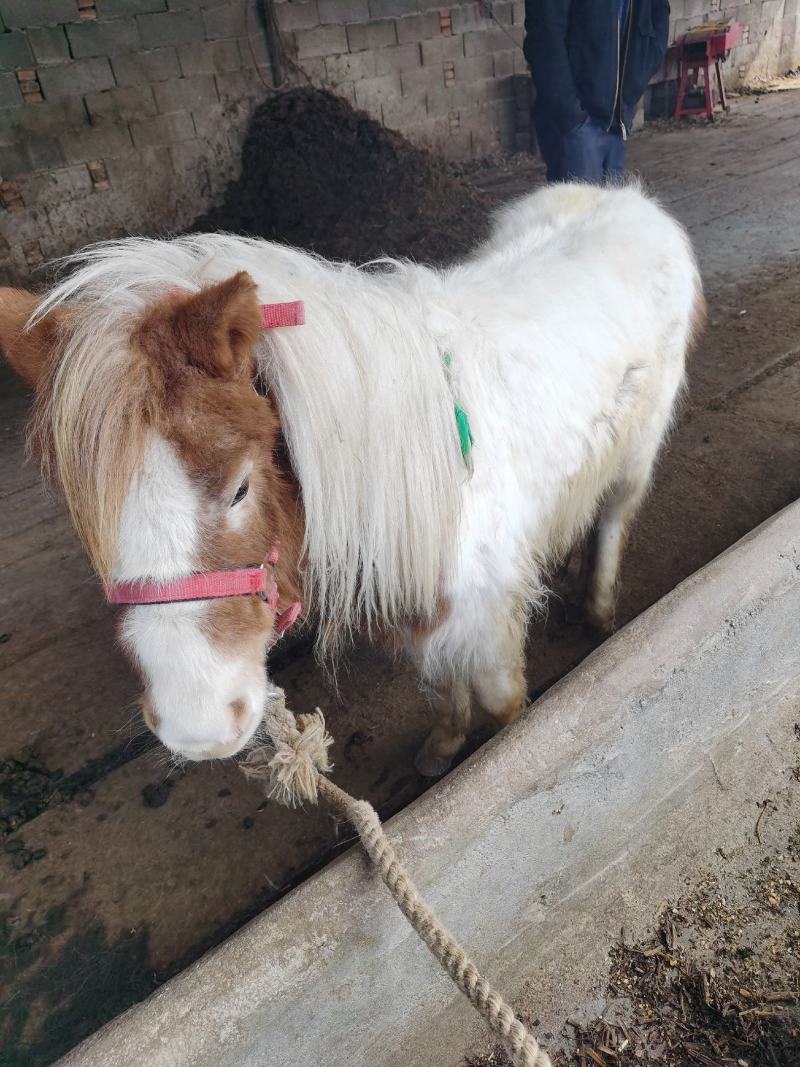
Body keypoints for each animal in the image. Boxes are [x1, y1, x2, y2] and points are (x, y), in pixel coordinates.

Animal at [0, 181, 703, 775]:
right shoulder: (418, 609)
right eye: (90, 516)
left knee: (613, 518)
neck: (427, 464)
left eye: (240, 487)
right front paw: (440, 751)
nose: (196, 726)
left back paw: (599, 610)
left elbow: (505, 711)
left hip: (638, 451)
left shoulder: (485, 622)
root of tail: (627, 197)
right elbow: (440, 690)